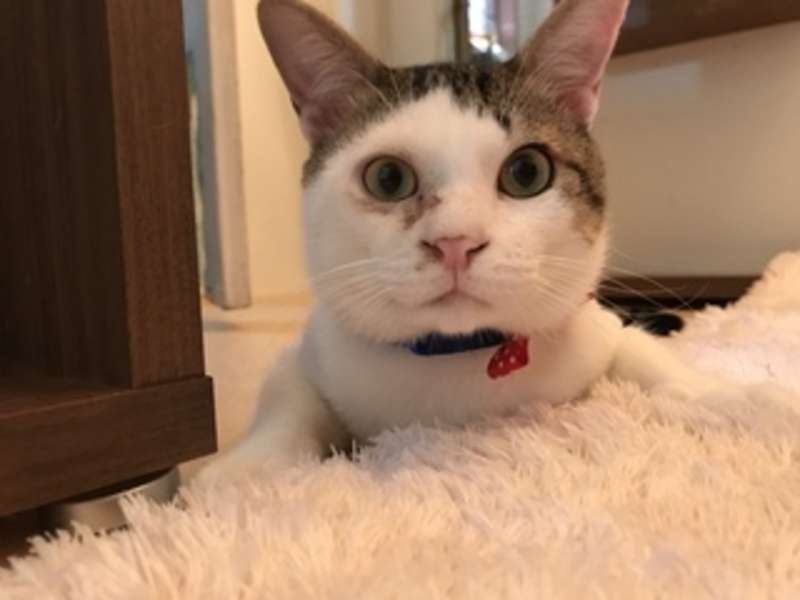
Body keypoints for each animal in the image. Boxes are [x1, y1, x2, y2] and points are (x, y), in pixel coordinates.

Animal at [198, 0, 794, 481]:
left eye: (527, 172)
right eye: (387, 178)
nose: (456, 242)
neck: (459, 361)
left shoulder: (598, 328)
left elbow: (650, 361)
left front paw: (737, 399)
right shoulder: (311, 351)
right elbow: (288, 404)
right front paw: (240, 472)